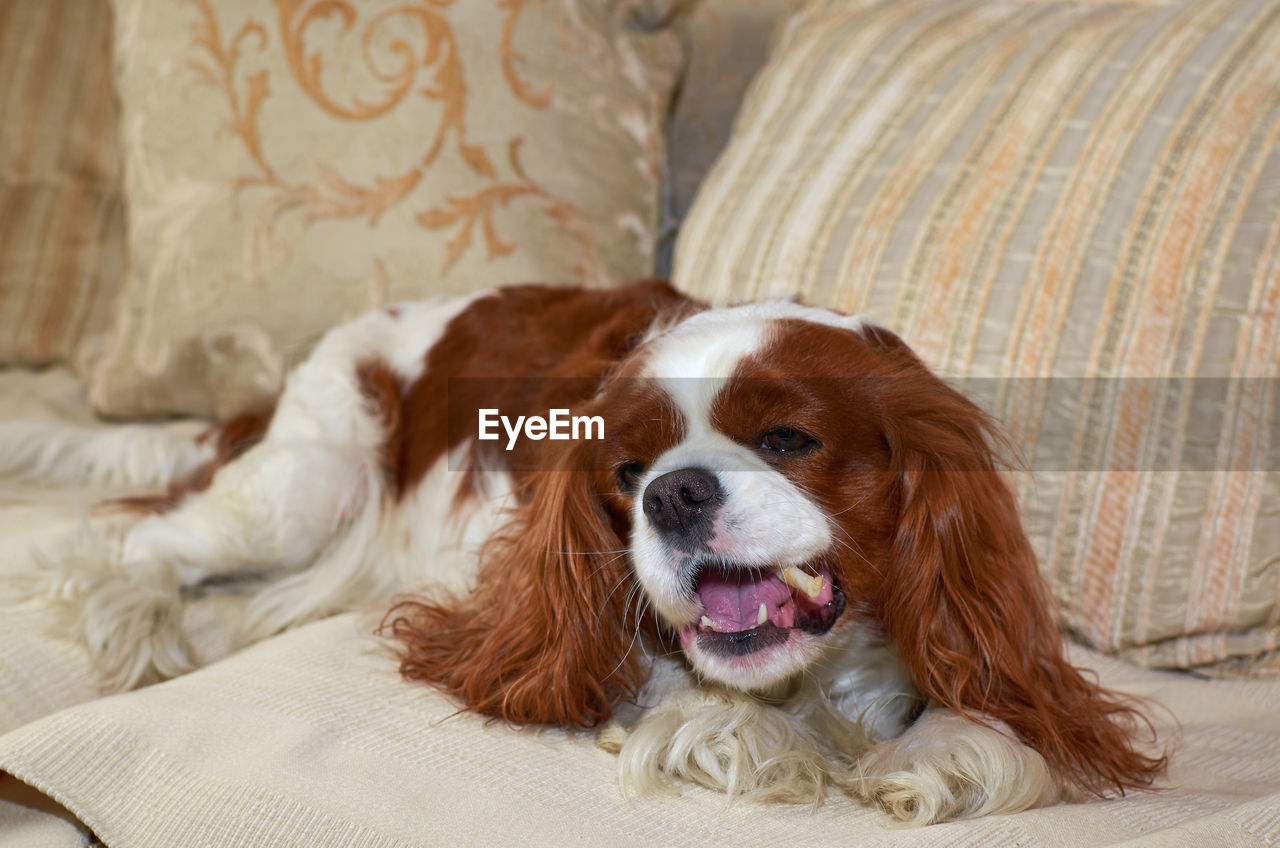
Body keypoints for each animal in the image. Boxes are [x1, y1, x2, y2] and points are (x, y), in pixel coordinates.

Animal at [0, 281, 1162, 824]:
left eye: (788, 439)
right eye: (626, 469)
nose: (673, 492)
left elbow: (999, 725)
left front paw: (940, 752)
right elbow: (698, 705)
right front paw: (766, 737)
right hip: (302, 484)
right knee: (146, 539)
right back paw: (139, 618)